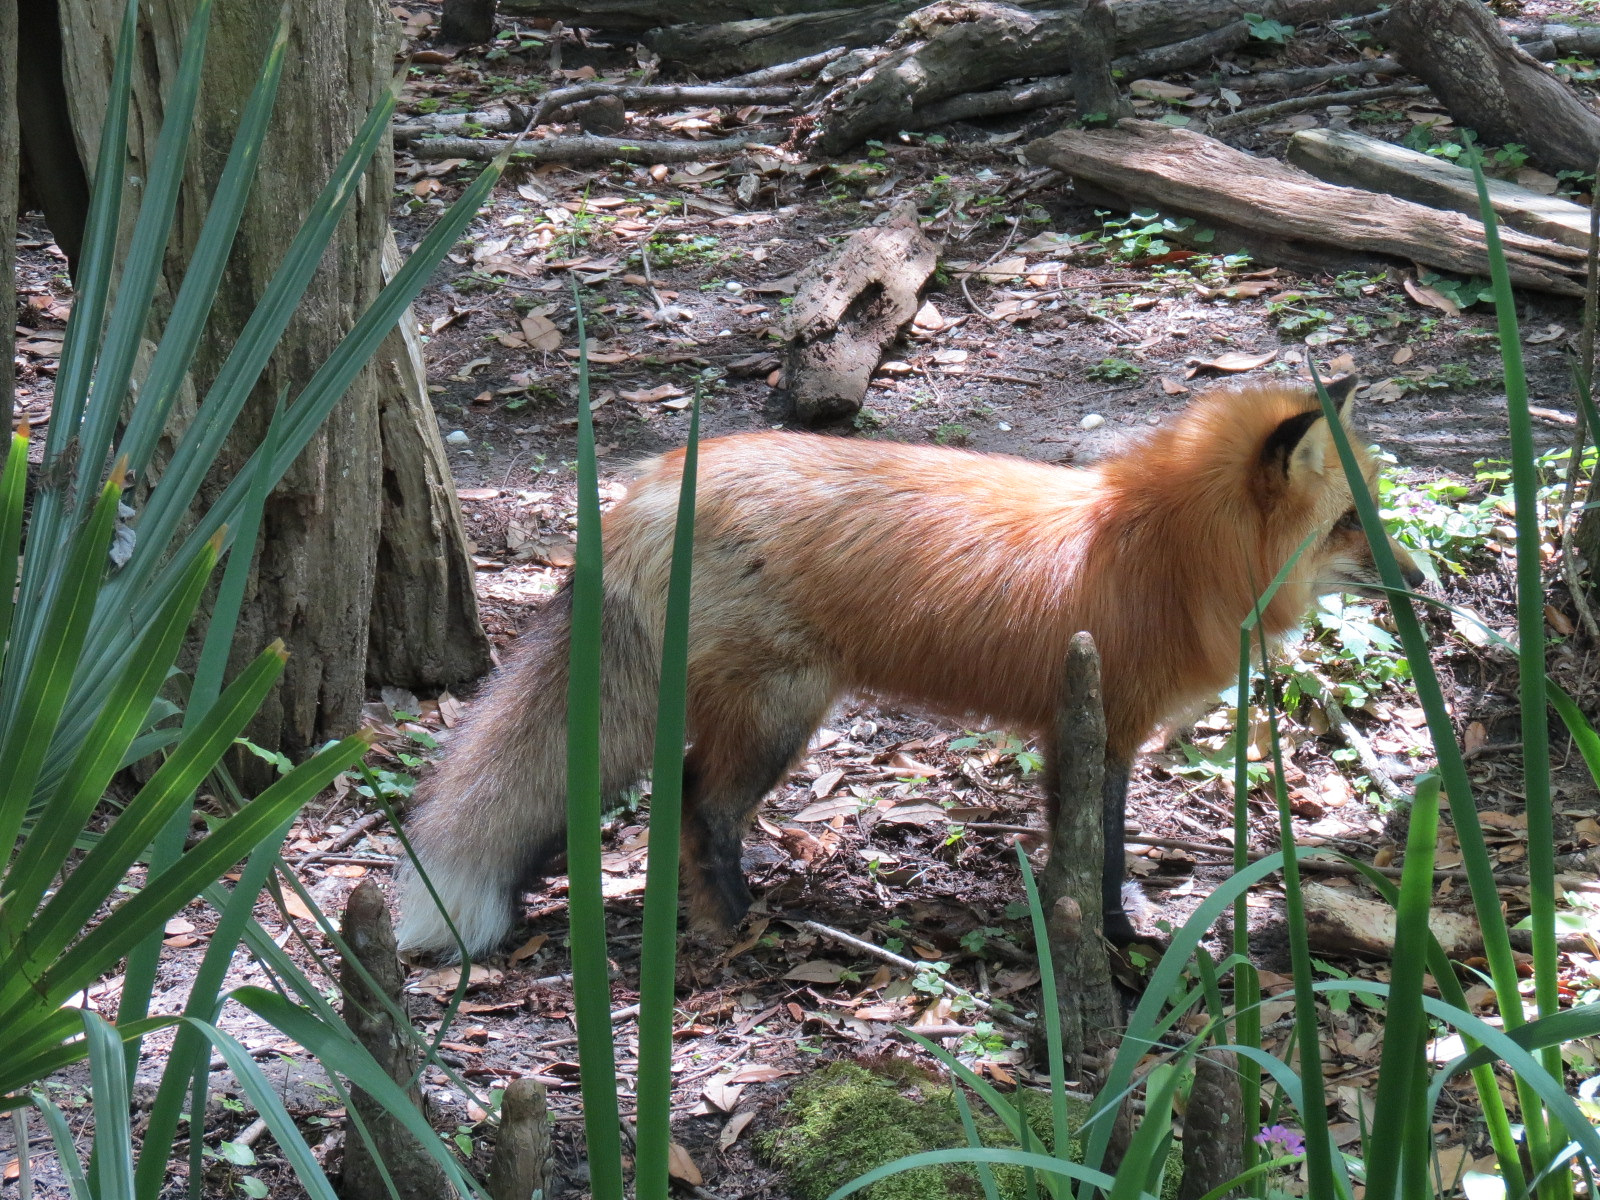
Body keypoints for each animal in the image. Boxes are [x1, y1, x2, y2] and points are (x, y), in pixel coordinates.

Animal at [394, 376, 1424, 959]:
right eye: (1349, 522)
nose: (1417, 581)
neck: (1163, 555)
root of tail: (644, 490)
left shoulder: (1100, 729)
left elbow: (1101, 846)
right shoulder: (1091, 725)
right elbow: (1092, 850)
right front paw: (1115, 942)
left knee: (685, 801)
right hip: (784, 710)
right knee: (695, 800)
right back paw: (739, 924)